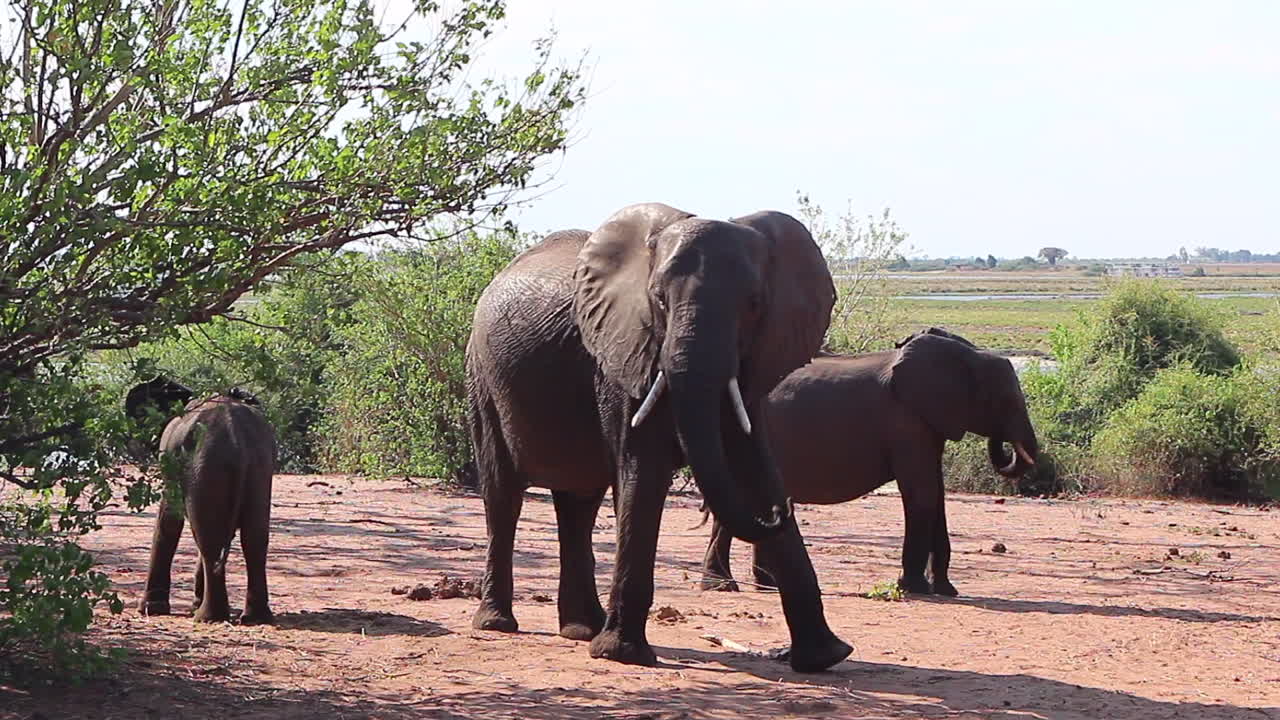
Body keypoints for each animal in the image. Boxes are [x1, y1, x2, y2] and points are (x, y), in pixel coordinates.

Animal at [129, 379, 278, 624]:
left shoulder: (170, 456)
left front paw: (150, 609)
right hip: (257, 467)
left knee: (210, 539)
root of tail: (237, 440)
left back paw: (207, 617)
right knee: (253, 538)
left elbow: (169, 519)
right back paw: (254, 618)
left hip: (206, 465)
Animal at [464, 202, 853, 672]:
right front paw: (623, 656)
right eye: (660, 300)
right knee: (503, 494)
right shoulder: (623, 355)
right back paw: (498, 624)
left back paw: (581, 630)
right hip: (482, 379)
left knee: (578, 505)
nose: (781, 510)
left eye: (755, 305)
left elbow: (751, 465)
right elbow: (643, 471)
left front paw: (826, 658)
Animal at [701, 327, 1039, 597]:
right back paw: (723, 587)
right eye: (1004, 400)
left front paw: (946, 591)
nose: (1002, 442)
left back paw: (765, 587)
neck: (967, 355)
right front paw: (915, 589)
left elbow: (936, 495)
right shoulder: (905, 421)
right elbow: (922, 493)